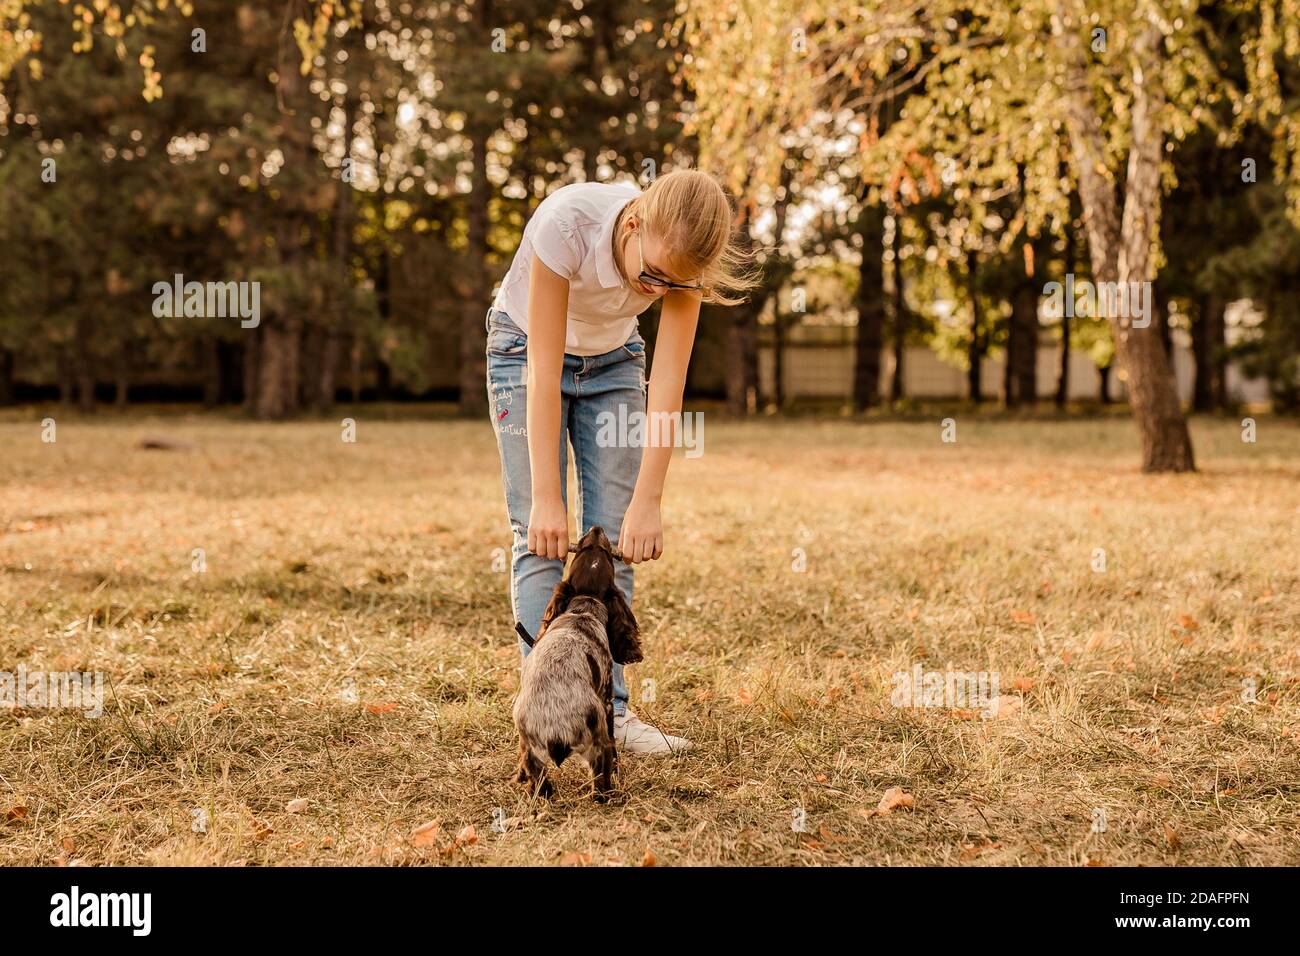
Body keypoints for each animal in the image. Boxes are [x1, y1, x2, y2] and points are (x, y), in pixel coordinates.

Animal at [512, 528, 644, 806]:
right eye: (606, 553)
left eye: (584, 550)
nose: (596, 530)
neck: (584, 607)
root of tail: (555, 728)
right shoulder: (606, 699)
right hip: (598, 743)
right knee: (601, 780)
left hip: (531, 751)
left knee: (540, 784)